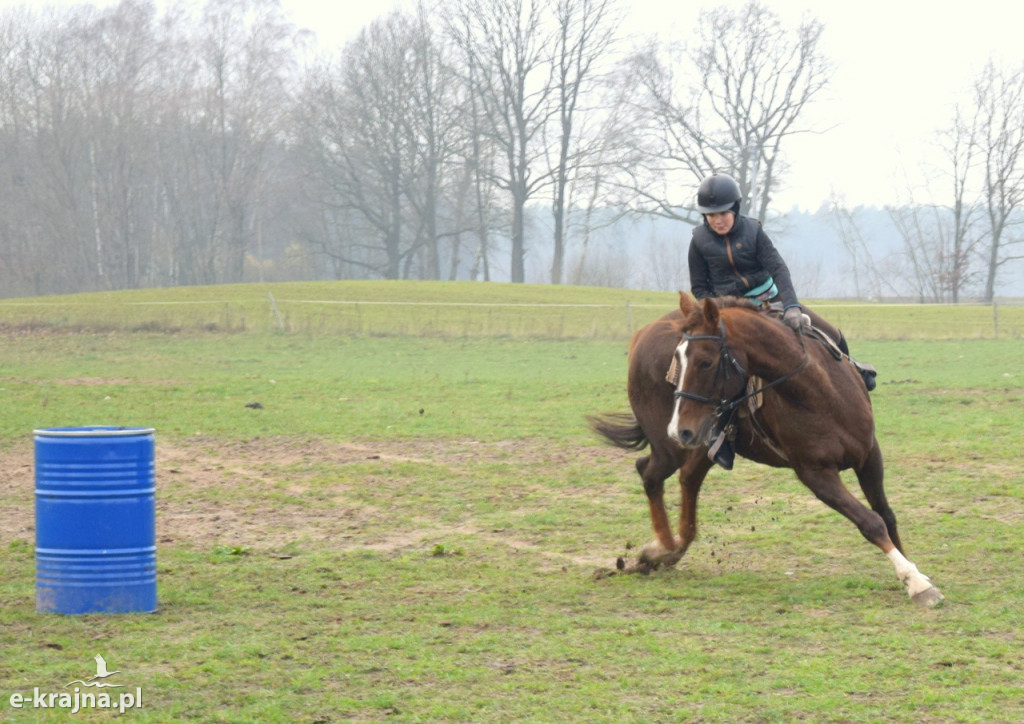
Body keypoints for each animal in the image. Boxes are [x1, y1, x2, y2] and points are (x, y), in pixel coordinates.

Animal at [593, 290, 942, 610]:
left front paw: (912, 572)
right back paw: (662, 549)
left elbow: (886, 514)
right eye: (676, 362)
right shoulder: (817, 476)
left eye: (706, 361)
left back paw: (672, 548)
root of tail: (641, 337)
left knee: (686, 478)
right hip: (673, 449)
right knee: (650, 473)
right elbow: (870, 522)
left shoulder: (869, 456)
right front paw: (915, 582)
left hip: (700, 444)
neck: (817, 393)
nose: (679, 429)